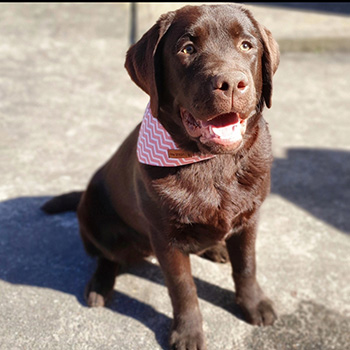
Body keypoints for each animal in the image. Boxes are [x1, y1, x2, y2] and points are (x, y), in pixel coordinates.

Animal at [43, 3, 278, 350]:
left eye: (247, 45)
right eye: (187, 49)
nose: (232, 83)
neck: (212, 163)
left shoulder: (249, 218)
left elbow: (247, 265)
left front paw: (254, 304)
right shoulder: (165, 238)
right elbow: (183, 288)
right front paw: (189, 332)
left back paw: (216, 248)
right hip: (93, 218)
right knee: (106, 256)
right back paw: (100, 286)